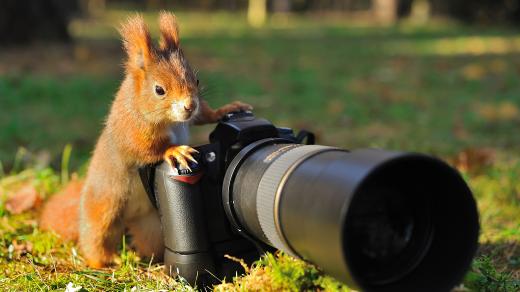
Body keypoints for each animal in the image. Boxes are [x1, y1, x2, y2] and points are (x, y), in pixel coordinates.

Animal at [38, 12, 252, 268]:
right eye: (159, 90)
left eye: (197, 81)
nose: (189, 105)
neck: (169, 121)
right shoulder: (133, 128)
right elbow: (144, 149)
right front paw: (174, 151)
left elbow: (203, 115)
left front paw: (226, 110)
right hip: (104, 208)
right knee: (95, 238)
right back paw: (107, 261)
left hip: (150, 224)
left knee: (149, 242)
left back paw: (152, 259)